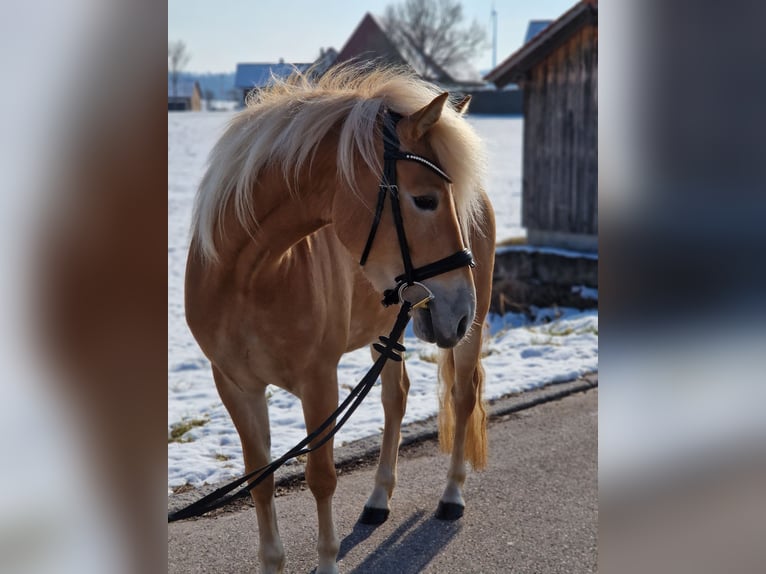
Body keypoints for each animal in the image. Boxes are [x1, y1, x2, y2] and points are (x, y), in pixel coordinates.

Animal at [186, 67, 498, 574]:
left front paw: (328, 560)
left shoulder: (319, 381)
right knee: (396, 398)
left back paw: (452, 494)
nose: (459, 308)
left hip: (468, 329)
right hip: (388, 329)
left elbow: (321, 477)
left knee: (463, 395)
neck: (248, 276)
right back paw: (378, 499)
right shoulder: (235, 385)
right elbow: (259, 479)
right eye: (425, 199)